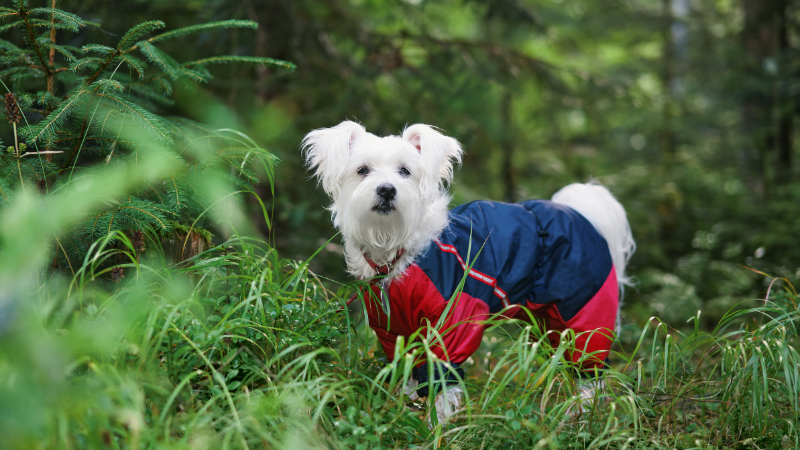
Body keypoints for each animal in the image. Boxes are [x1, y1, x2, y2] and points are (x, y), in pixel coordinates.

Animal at [304, 121, 636, 424]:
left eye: (405, 171)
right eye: (362, 170)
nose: (386, 189)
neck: (397, 251)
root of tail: (583, 215)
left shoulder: (453, 321)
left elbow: (441, 381)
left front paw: (436, 428)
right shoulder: (394, 330)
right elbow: (407, 373)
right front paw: (402, 413)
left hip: (585, 312)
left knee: (590, 372)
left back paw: (581, 413)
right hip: (548, 324)